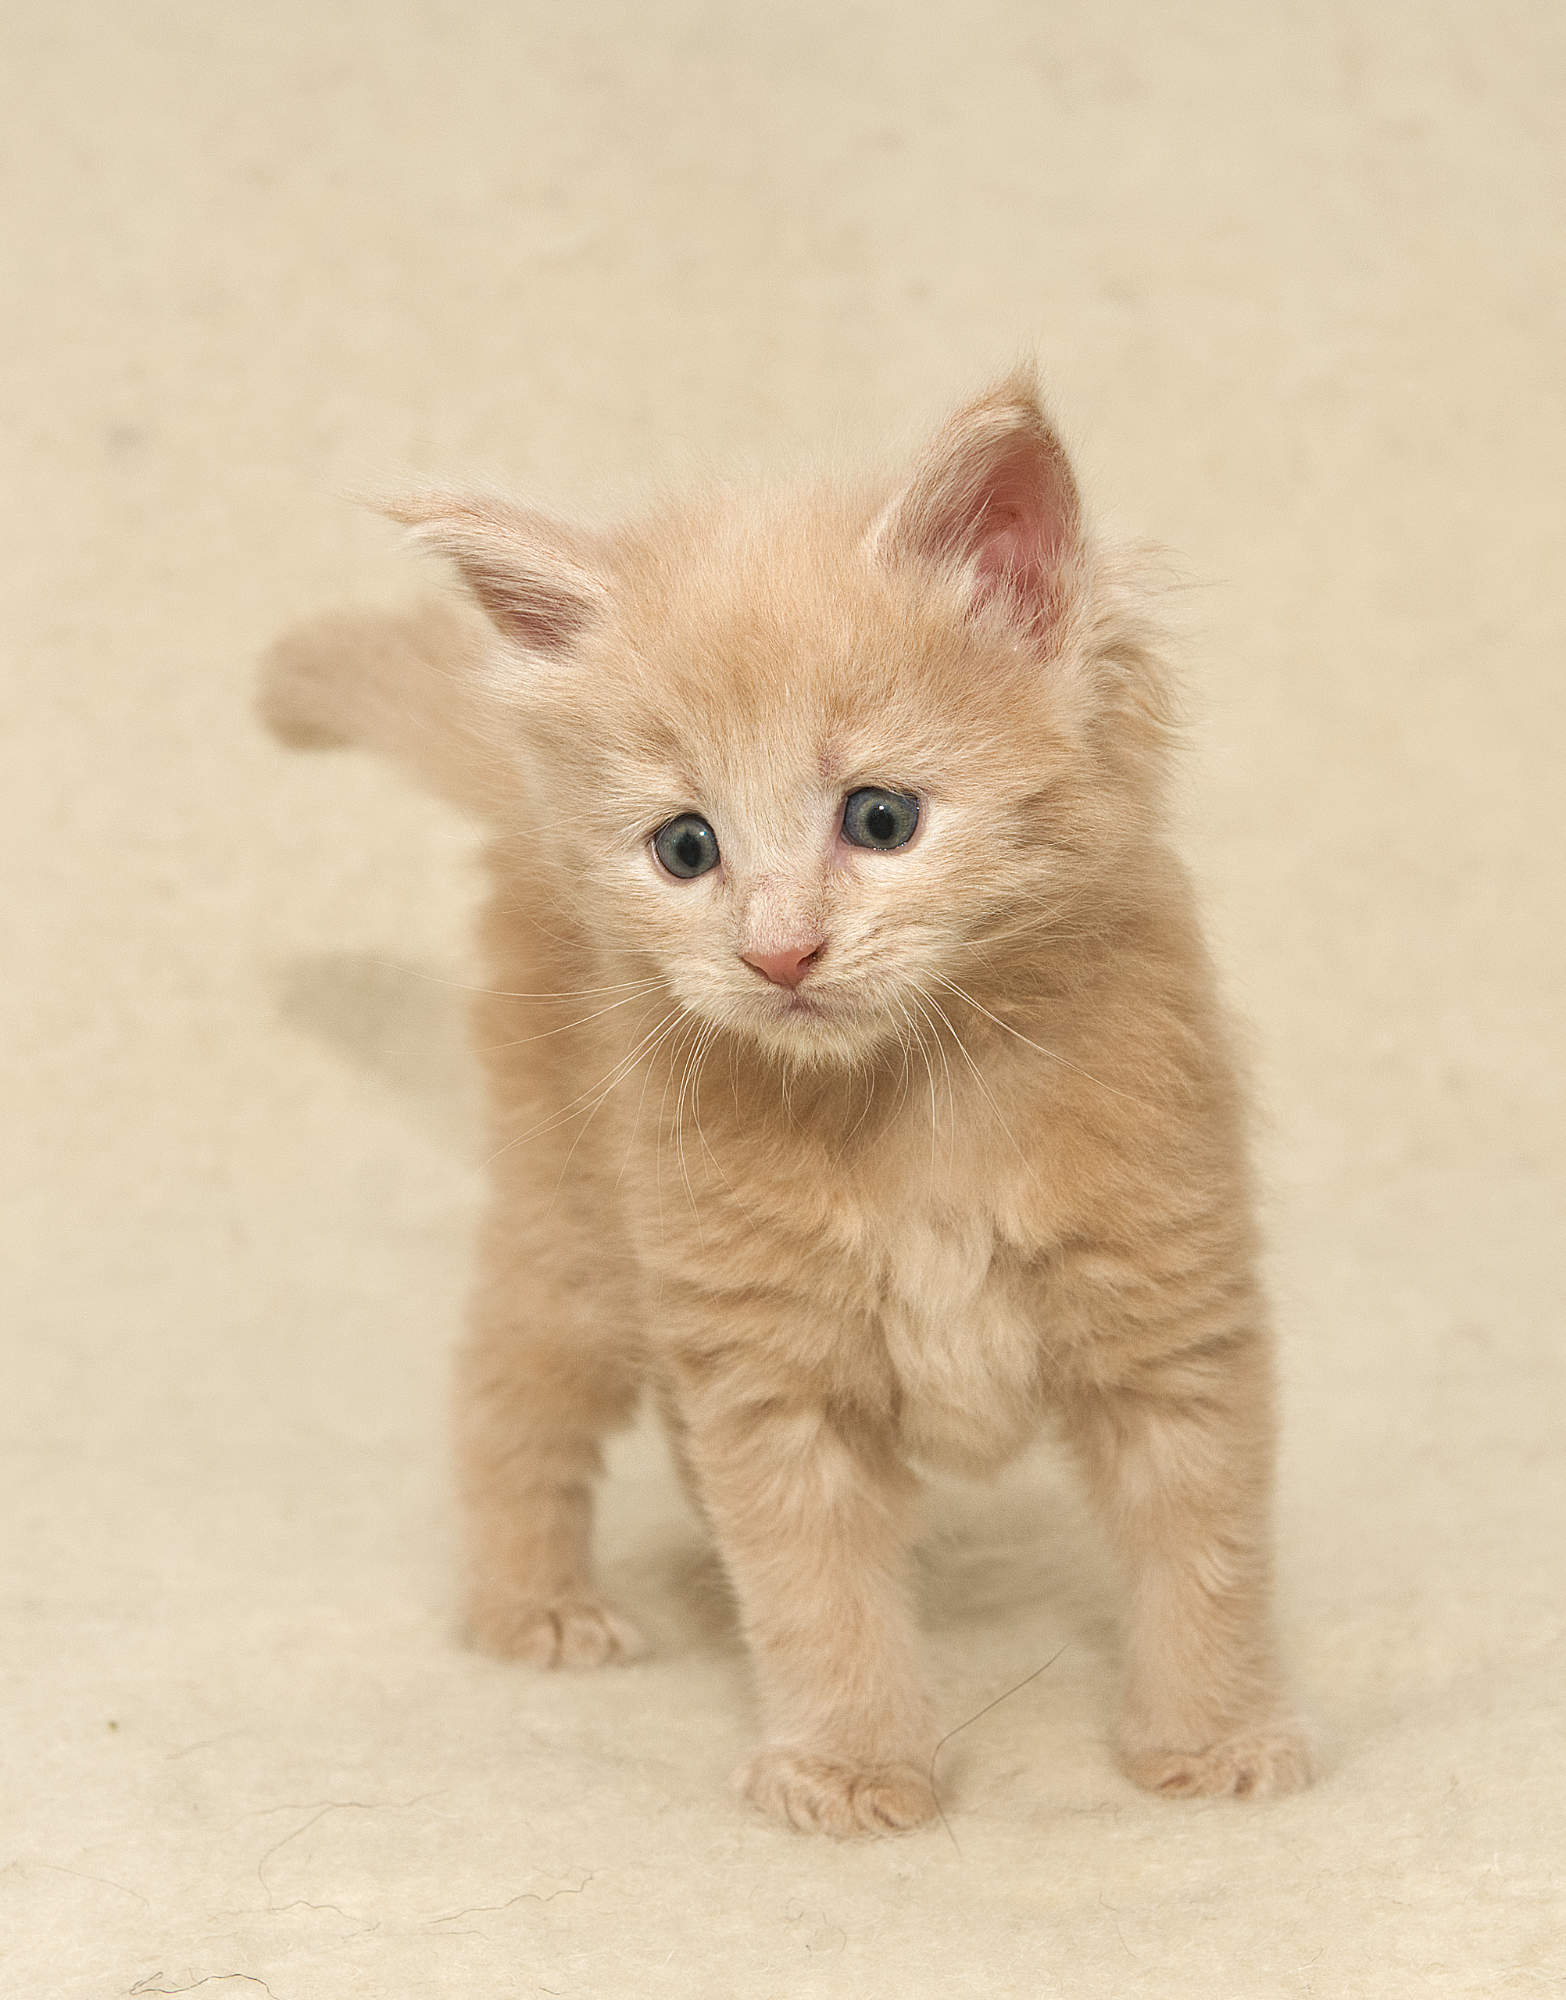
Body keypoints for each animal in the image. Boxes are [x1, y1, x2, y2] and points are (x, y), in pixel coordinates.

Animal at [260, 372, 1312, 1835]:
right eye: (685, 846)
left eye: (879, 817)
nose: (777, 954)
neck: (912, 1102)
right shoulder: (774, 1365)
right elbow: (817, 1586)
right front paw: (852, 1762)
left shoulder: (1171, 1314)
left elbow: (1203, 1557)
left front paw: (1209, 1740)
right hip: (579, 1223)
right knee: (508, 1384)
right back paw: (534, 1606)